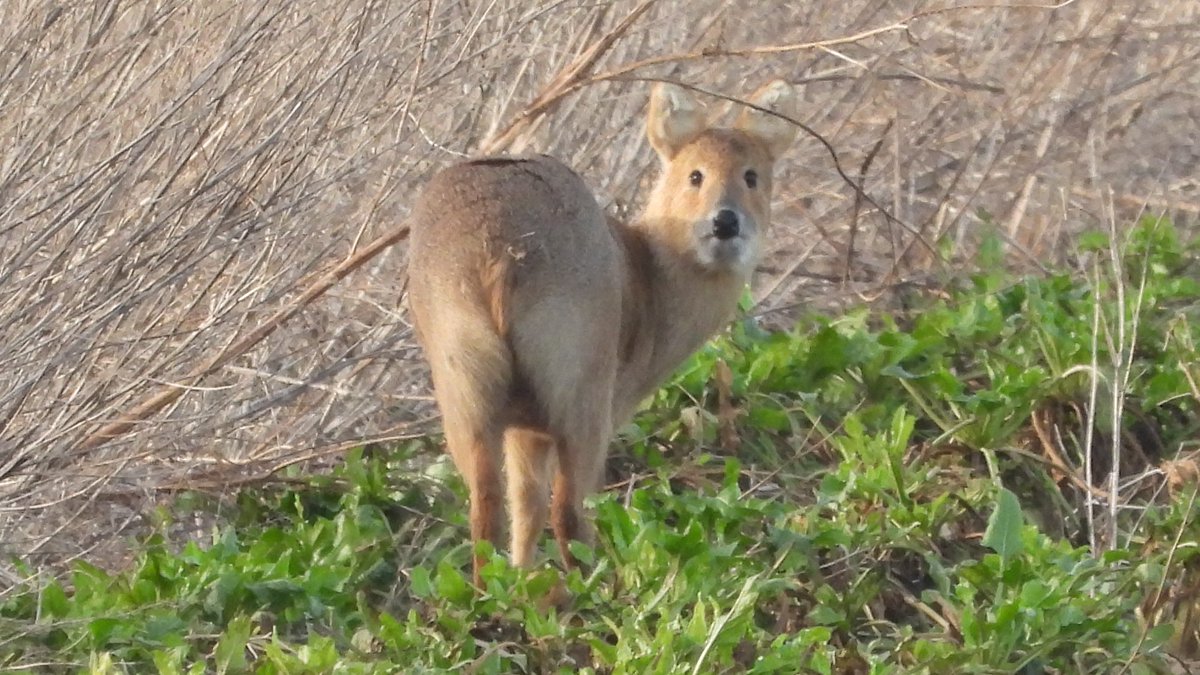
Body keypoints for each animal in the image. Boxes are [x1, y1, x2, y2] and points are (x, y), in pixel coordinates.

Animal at [405, 78, 796, 583]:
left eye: (751, 175)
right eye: (696, 174)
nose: (725, 220)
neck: (648, 278)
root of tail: (497, 253)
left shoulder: (524, 426)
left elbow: (525, 505)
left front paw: (521, 577)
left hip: (465, 392)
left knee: (487, 507)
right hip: (580, 395)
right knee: (570, 509)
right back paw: (593, 587)